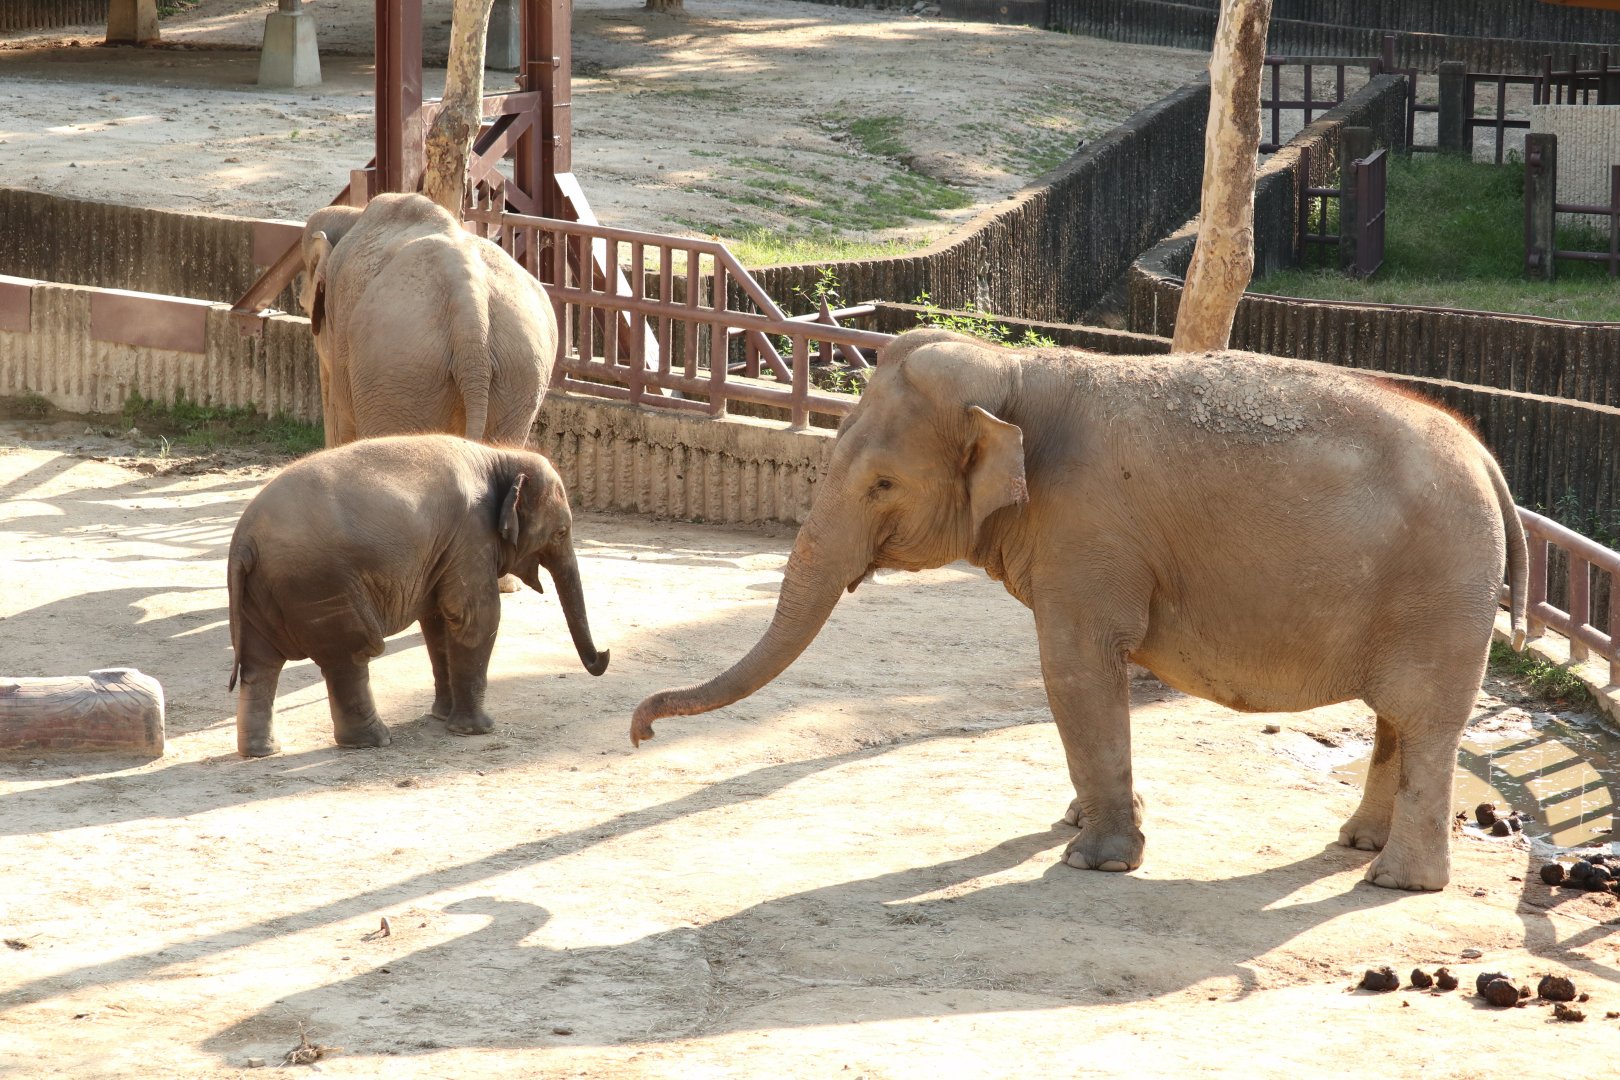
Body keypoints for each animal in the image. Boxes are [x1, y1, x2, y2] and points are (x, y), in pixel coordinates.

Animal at [227, 434, 609, 758]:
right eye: (561, 532)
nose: (604, 655)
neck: (497, 456)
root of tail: (244, 540)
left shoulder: (446, 549)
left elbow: (437, 621)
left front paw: (442, 717)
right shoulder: (470, 535)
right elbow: (474, 616)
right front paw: (477, 731)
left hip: (263, 592)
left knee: (260, 665)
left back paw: (262, 751)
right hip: (321, 586)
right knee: (349, 654)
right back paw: (374, 741)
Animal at [632, 328, 1528, 893]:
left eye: (883, 483)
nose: (638, 730)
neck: (1017, 372)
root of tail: (1490, 459)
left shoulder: (1088, 529)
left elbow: (1073, 667)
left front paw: (1091, 861)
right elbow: (1088, 676)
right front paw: (1078, 827)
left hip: (1443, 586)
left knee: (1425, 717)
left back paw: (1397, 882)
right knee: (1396, 719)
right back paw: (1357, 844)